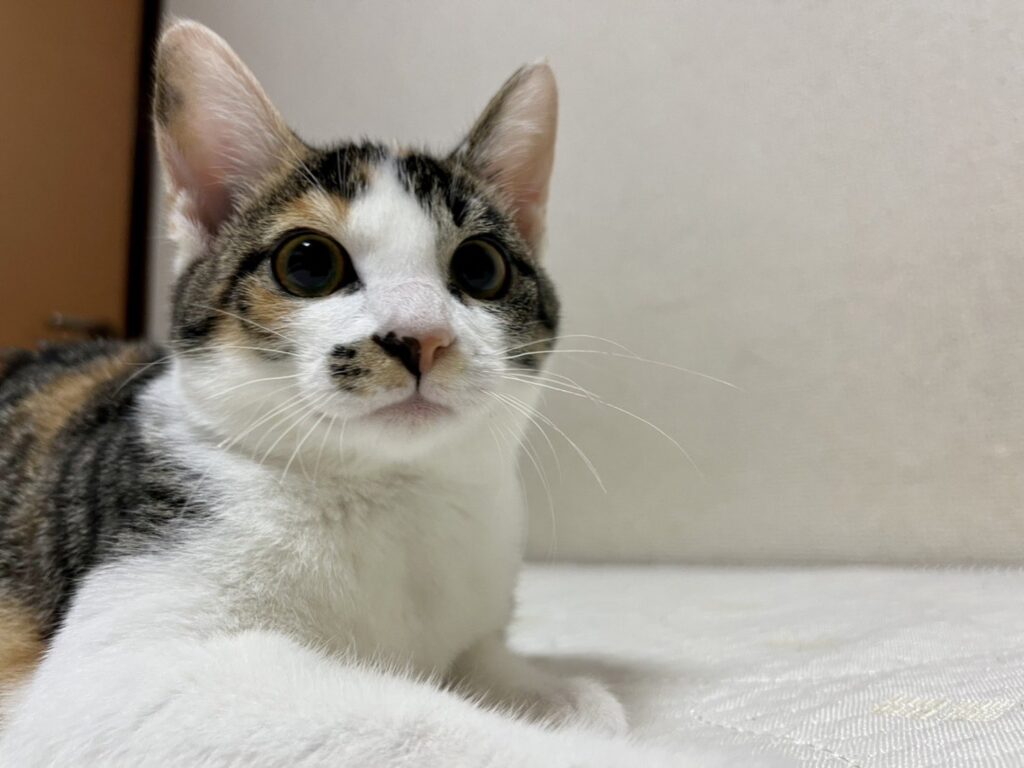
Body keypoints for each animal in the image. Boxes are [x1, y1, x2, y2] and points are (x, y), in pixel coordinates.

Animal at [0, 19, 756, 767]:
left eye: (481, 267)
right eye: (308, 263)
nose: (420, 336)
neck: (392, 495)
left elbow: (481, 656)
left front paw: (557, 695)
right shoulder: (119, 665)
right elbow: (413, 723)